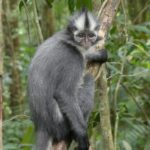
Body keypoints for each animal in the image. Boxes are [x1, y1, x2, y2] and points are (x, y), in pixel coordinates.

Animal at [27, 8, 108, 150]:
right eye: (80, 35)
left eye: (90, 35)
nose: (86, 42)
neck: (68, 40)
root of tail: (42, 126)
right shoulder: (72, 57)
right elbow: (64, 94)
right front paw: (82, 135)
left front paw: (95, 54)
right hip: (62, 125)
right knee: (88, 79)